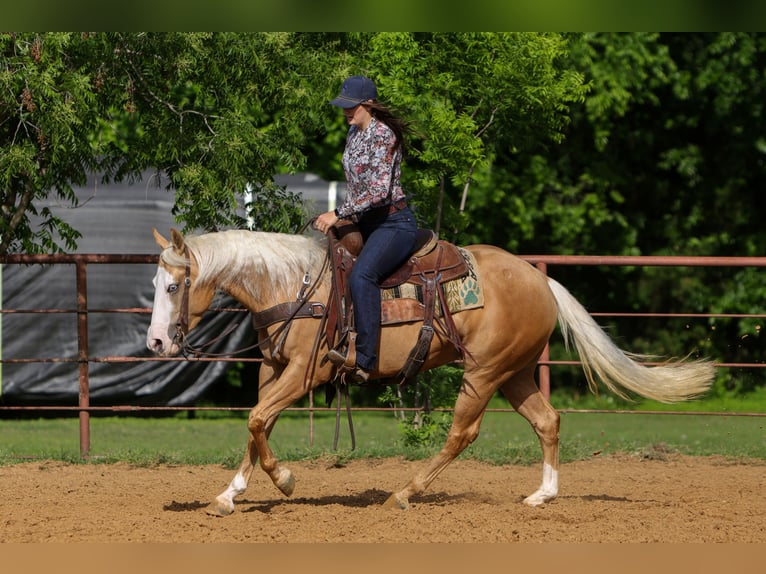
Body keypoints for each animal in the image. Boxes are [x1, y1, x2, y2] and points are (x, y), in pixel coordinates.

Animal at [147, 227, 714, 516]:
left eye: (174, 286)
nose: (155, 342)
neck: (293, 282)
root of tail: (540, 281)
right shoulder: (273, 368)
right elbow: (256, 422)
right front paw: (228, 495)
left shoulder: (305, 373)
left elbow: (258, 420)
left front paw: (284, 481)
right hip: (515, 373)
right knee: (547, 421)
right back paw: (543, 495)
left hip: (484, 373)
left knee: (463, 432)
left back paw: (405, 491)